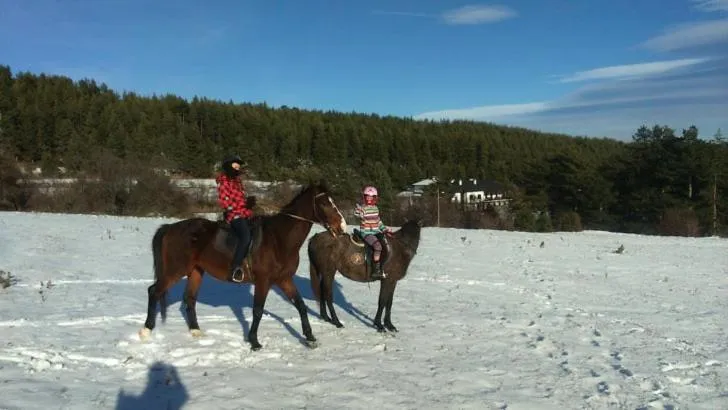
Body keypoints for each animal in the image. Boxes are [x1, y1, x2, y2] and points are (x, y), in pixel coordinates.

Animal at [138, 181, 347, 351]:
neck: (278, 239)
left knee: (189, 298)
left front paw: (310, 338)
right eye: (324, 203)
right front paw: (254, 341)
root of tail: (170, 228)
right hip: (175, 270)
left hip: (196, 271)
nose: (342, 227)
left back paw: (196, 332)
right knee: (154, 291)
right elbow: (258, 310)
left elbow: (301, 306)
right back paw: (146, 330)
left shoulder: (284, 279)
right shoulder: (263, 281)